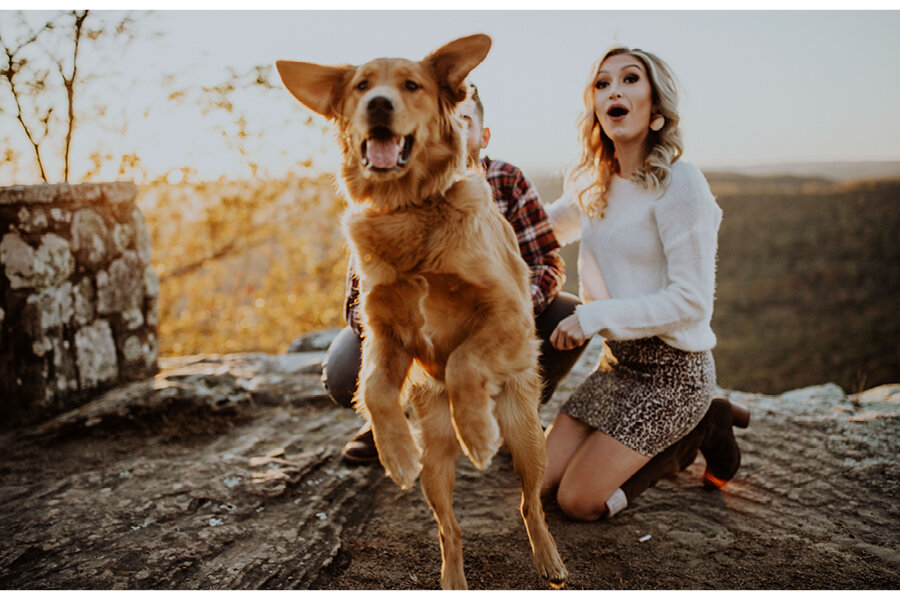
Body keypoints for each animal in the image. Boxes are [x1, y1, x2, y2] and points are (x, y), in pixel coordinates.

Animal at [278, 34, 568, 592]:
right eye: (361, 86)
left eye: (411, 85)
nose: (378, 105)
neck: (408, 210)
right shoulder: (384, 332)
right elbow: (372, 387)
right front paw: (394, 451)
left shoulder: (510, 316)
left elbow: (464, 361)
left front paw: (476, 430)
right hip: (437, 466)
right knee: (448, 528)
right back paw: (453, 577)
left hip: (527, 436)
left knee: (530, 503)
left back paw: (548, 557)